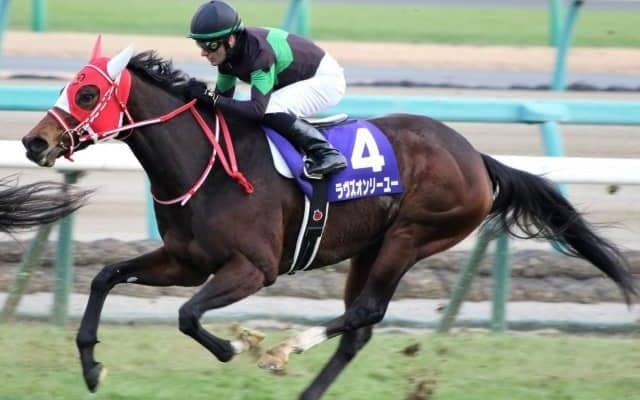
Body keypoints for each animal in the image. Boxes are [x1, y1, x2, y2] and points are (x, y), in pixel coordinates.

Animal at [21, 38, 636, 400]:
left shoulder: (253, 268)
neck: (205, 165)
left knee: (365, 311)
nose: (33, 142)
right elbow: (105, 277)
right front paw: (91, 366)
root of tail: (476, 157)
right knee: (358, 329)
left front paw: (241, 347)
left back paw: (284, 351)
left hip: (412, 236)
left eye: (86, 93)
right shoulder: (185, 261)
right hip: (371, 246)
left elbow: (188, 316)